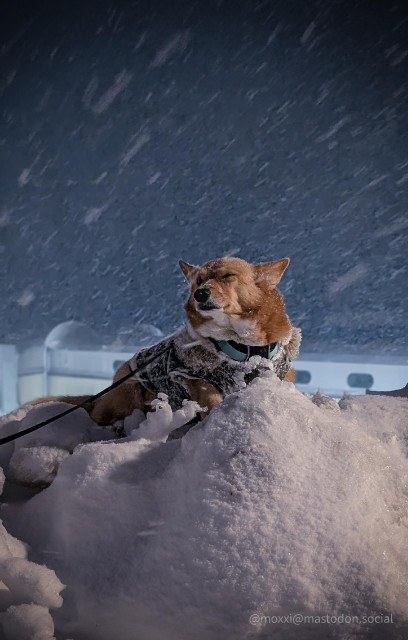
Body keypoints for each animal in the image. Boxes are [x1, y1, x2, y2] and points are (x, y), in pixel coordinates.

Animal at [31, 258, 302, 432]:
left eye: (228, 276)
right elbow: (212, 399)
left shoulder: (281, 373)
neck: (242, 346)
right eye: (198, 281)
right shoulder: (192, 376)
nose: (200, 294)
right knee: (105, 417)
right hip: (129, 384)